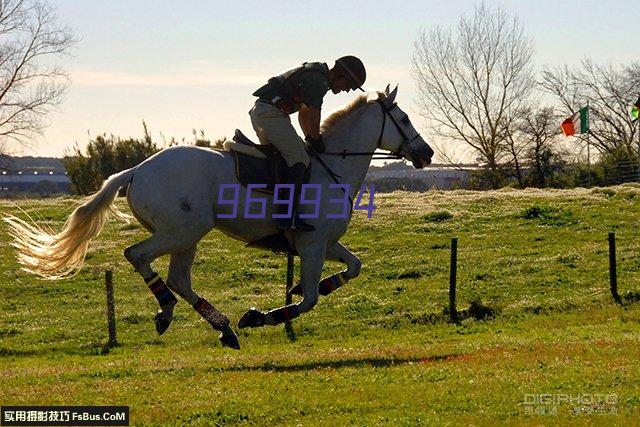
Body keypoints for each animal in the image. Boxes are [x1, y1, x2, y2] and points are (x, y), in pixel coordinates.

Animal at [3, 85, 436, 350]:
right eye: (405, 119)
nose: (427, 153)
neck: (333, 167)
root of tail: (137, 170)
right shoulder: (312, 245)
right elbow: (309, 299)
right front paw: (260, 316)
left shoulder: (325, 243)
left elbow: (352, 268)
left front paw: (304, 289)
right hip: (182, 231)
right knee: (138, 256)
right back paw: (171, 311)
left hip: (187, 237)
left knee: (179, 278)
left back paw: (222, 326)